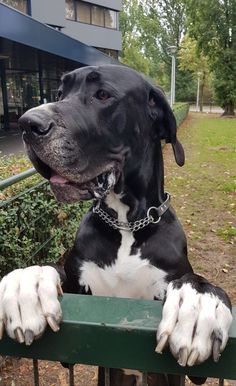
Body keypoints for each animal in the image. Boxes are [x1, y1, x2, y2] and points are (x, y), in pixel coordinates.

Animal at [0, 65, 232, 384]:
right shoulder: (77, 321)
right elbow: (53, 270)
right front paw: (26, 286)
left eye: (102, 95)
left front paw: (197, 304)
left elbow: (196, 281)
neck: (126, 225)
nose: (27, 123)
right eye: (59, 93)